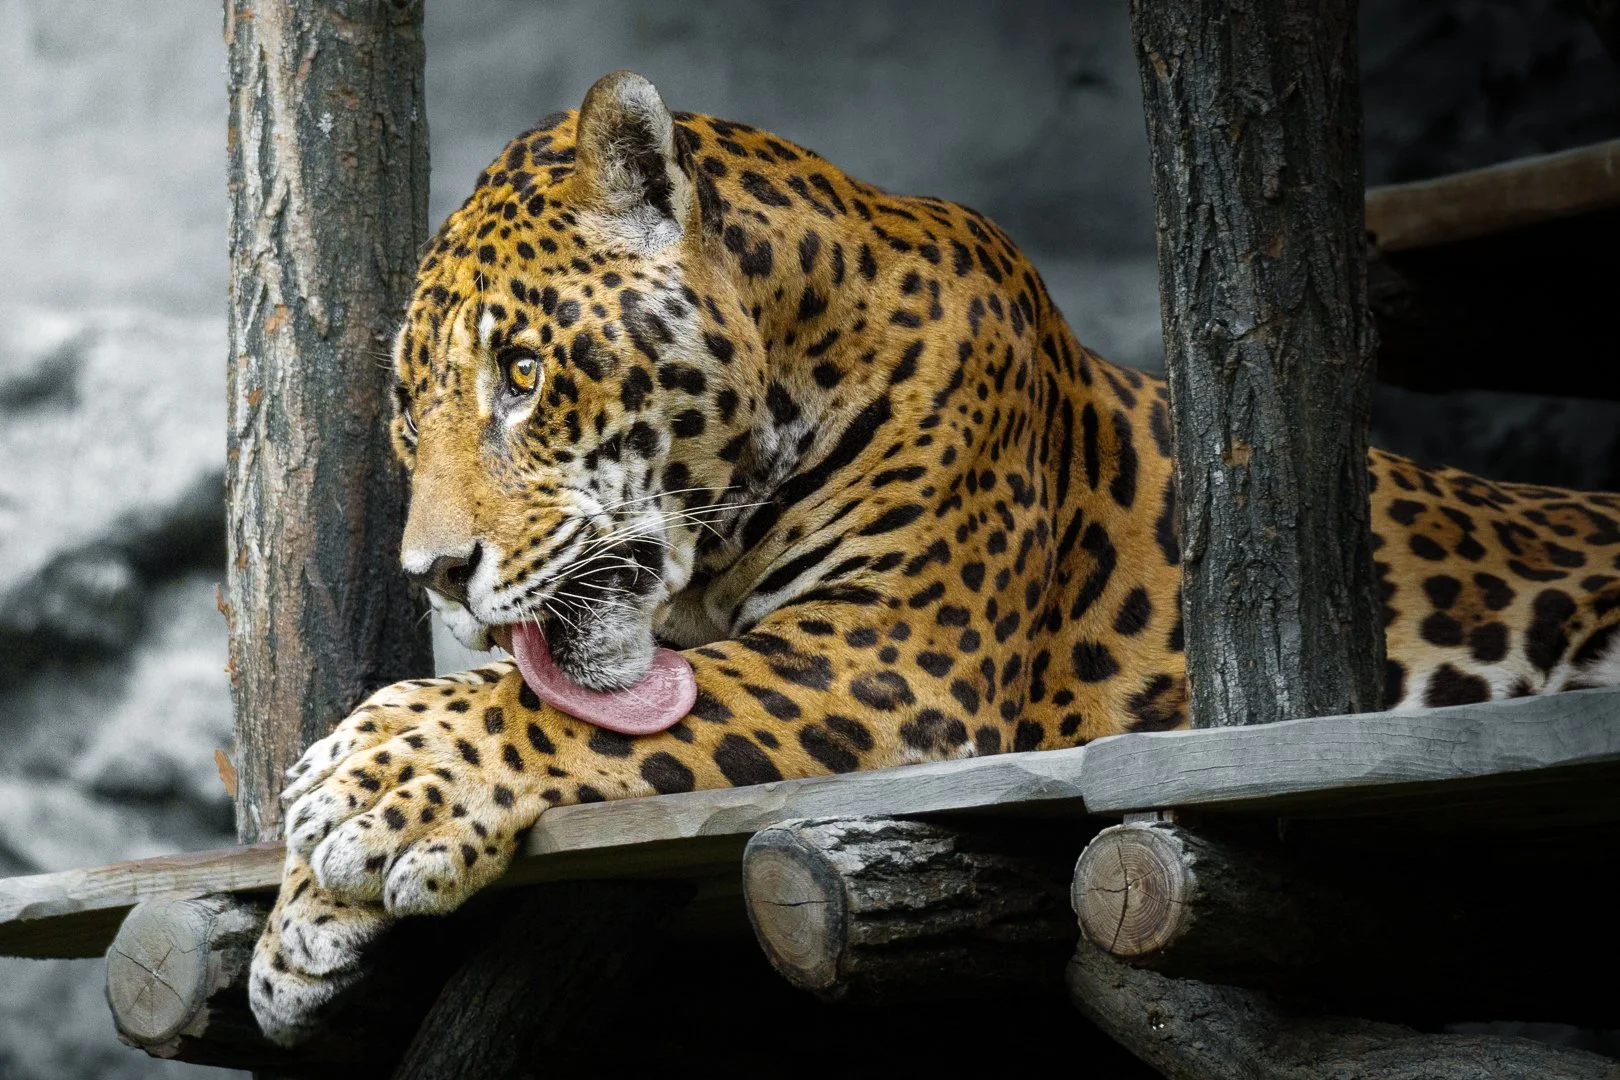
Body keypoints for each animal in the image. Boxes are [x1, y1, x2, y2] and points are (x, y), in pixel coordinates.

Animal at [249, 70, 1620, 1042]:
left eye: (525, 374)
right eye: (407, 411)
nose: (433, 573)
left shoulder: (895, 654)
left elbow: (584, 713)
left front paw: (363, 784)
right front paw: (299, 926)